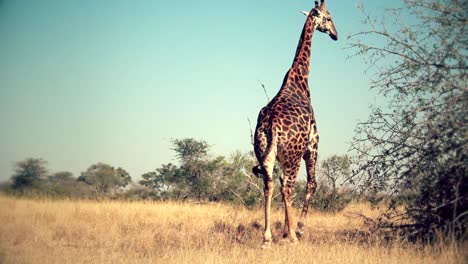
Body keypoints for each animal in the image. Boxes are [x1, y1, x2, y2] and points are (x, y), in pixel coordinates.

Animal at [254, 0, 338, 248]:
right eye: (329, 18)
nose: (335, 34)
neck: (301, 78)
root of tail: (271, 125)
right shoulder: (313, 144)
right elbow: (312, 184)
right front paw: (296, 229)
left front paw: (284, 231)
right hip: (294, 156)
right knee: (287, 186)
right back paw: (292, 236)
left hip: (265, 151)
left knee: (270, 183)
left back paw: (267, 238)